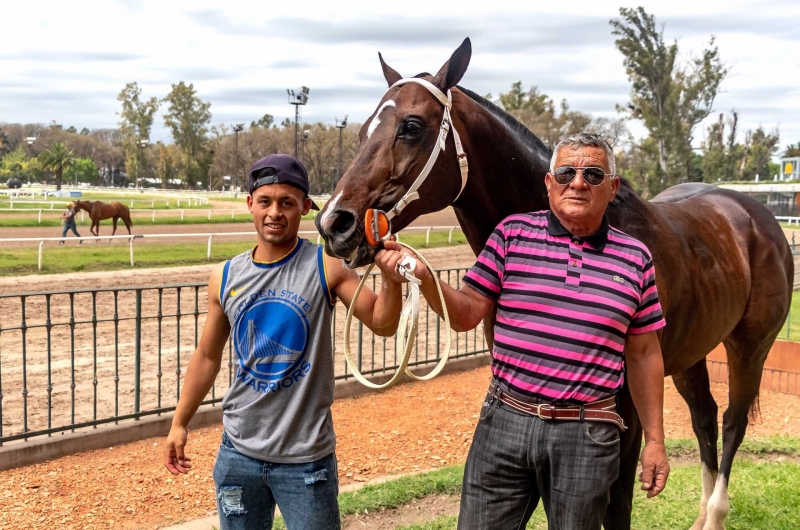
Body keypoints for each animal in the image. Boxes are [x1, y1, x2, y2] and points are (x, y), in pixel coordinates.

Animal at [318, 39, 792, 524]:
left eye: (411, 126)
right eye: (362, 132)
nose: (334, 223)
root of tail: (754, 215)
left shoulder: (627, 408)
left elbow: (616, 504)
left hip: (750, 346)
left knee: (733, 420)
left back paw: (715, 512)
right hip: (692, 352)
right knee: (704, 416)